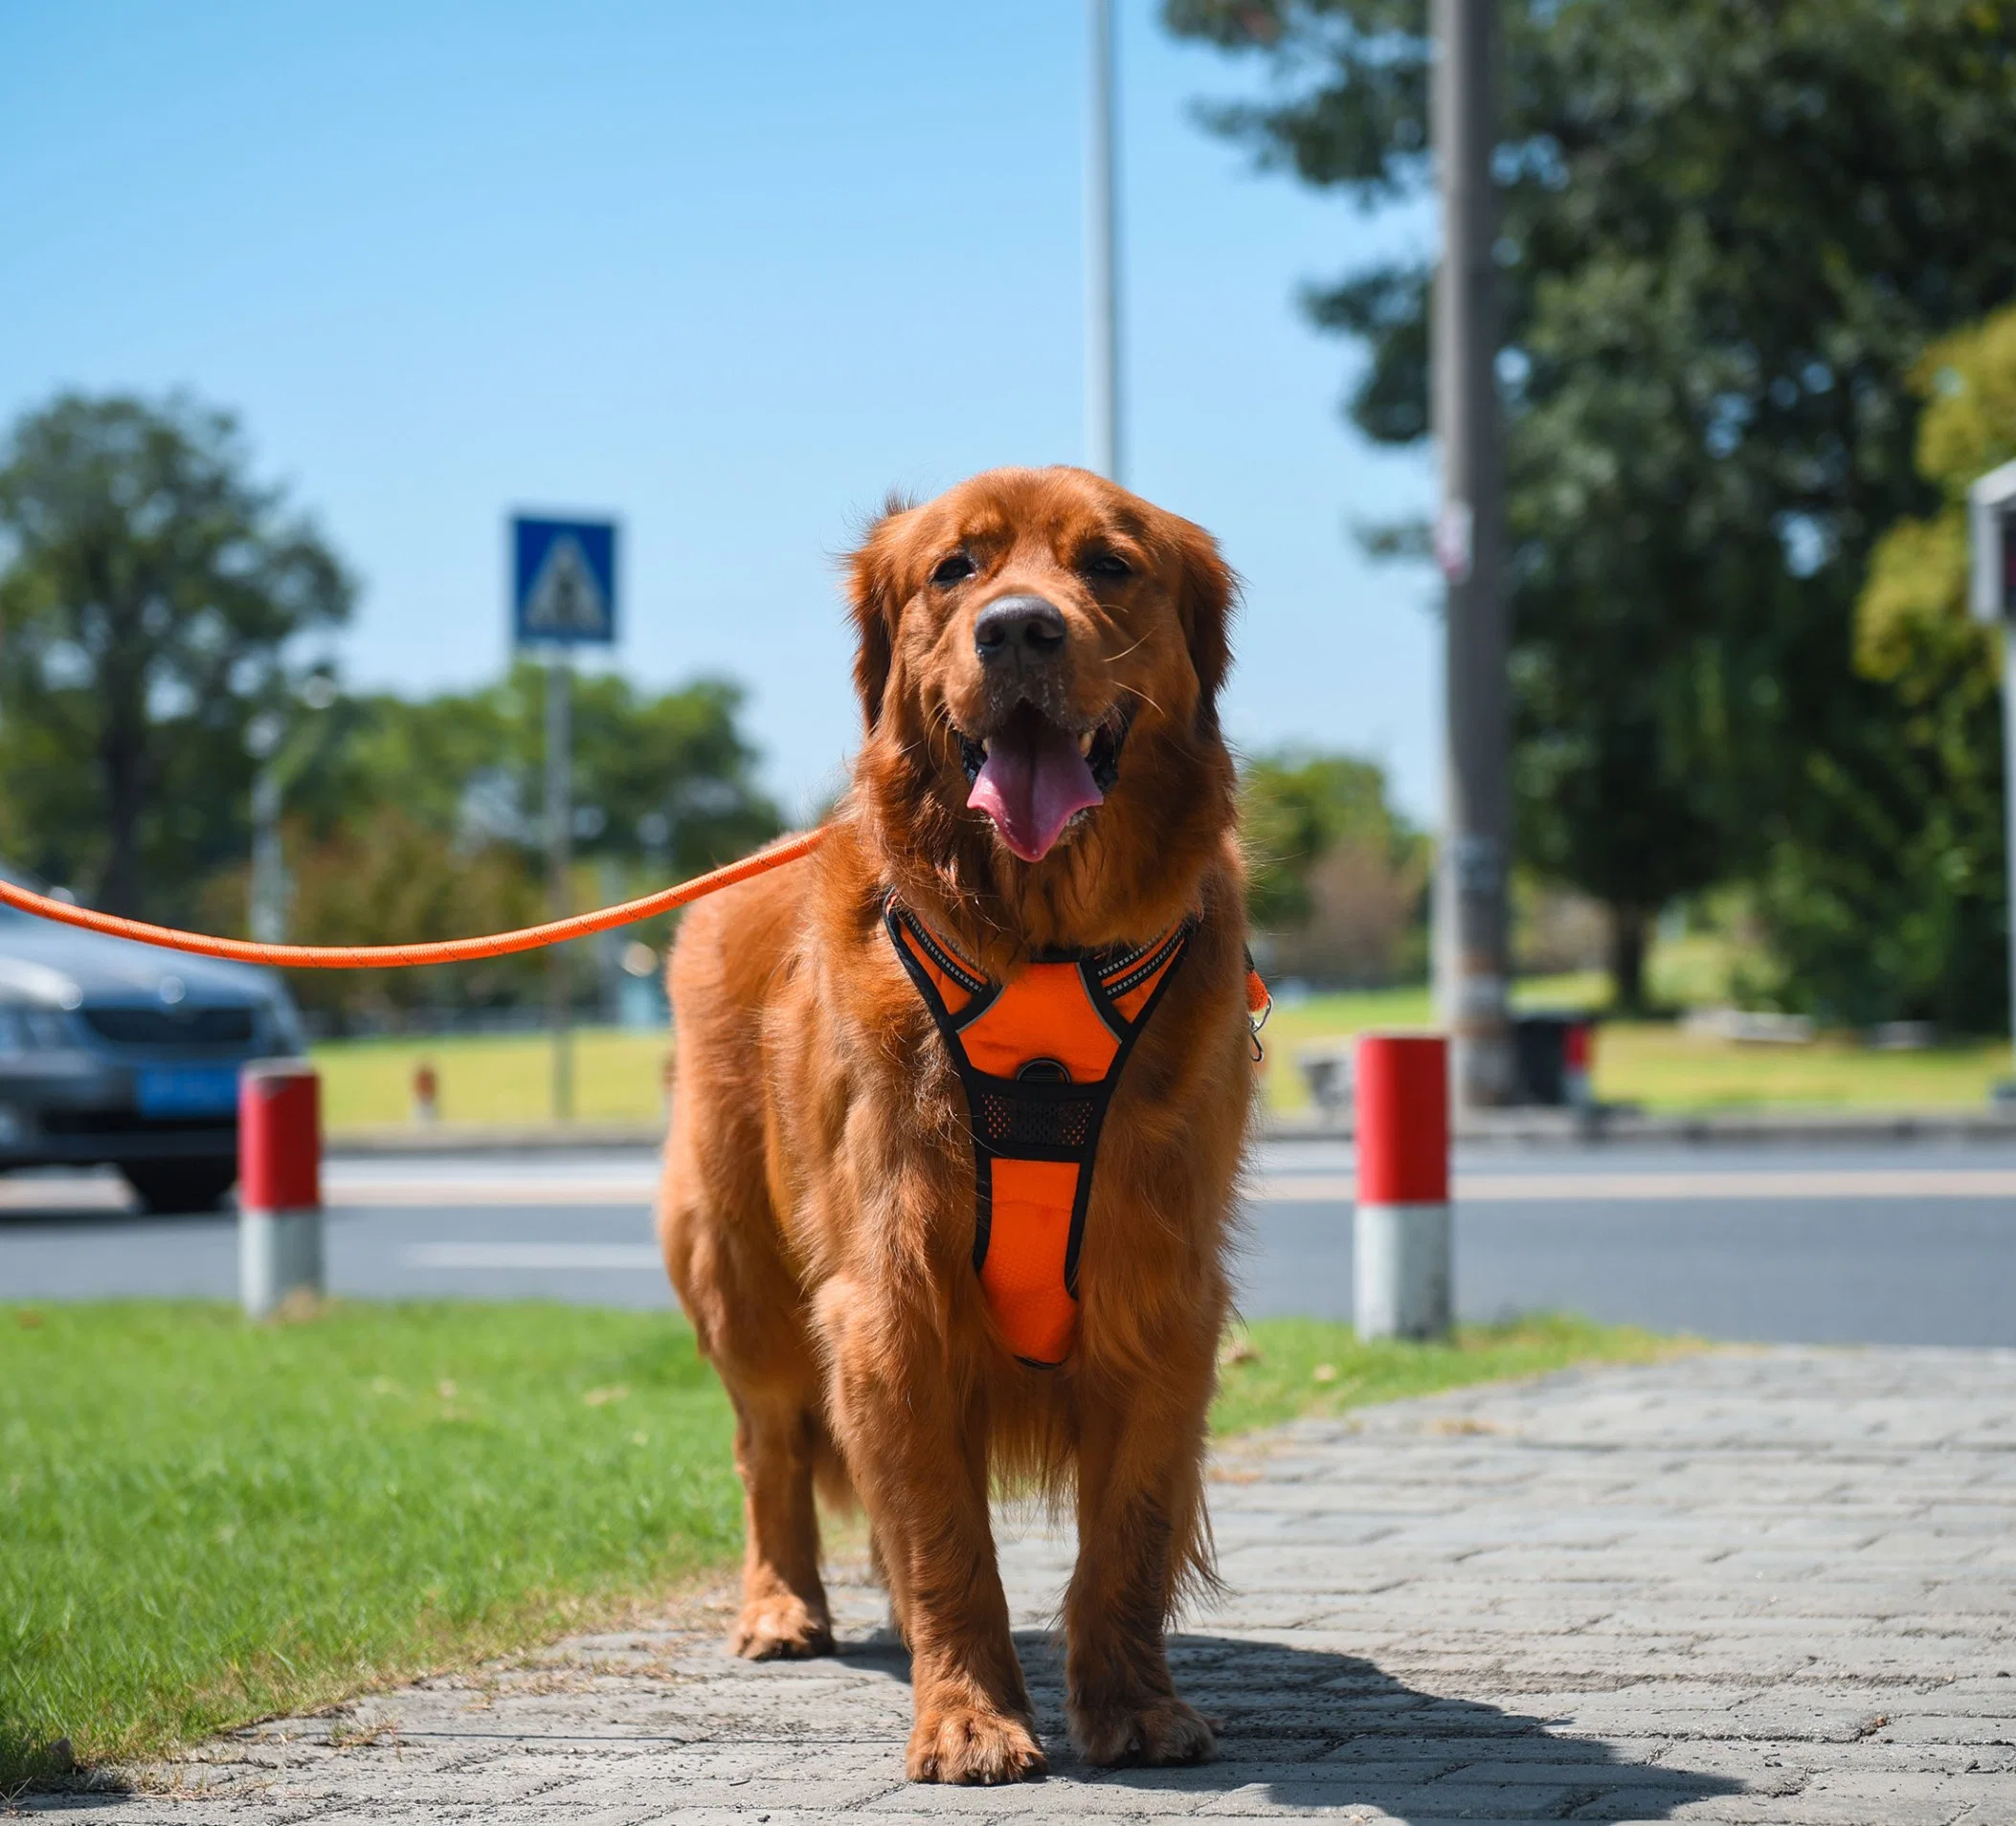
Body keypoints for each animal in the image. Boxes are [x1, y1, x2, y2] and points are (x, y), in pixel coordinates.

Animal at [661, 459, 1249, 1781]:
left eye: (1109, 565)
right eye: (955, 569)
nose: (1018, 630)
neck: (1042, 952)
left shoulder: (1160, 1291)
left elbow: (1128, 1534)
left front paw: (1132, 1702)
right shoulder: (891, 1295)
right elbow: (946, 1543)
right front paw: (972, 1715)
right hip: (741, 1273)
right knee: (771, 1448)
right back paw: (782, 1607)